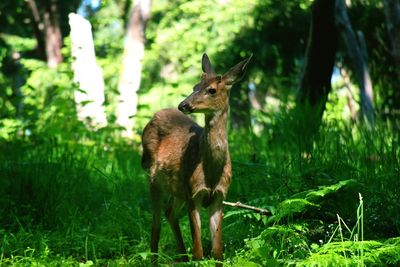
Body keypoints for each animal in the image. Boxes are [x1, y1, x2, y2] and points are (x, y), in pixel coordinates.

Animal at [142, 53, 252, 266]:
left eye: (211, 90)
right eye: (194, 87)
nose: (183, 105)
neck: (211, 171)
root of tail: (153, 116)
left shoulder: (219, 196)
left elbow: (217, 252)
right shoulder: (194, 193)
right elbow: (199, 251)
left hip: (177, 188)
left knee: (169, 212)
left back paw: (181, 256)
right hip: (154, 179)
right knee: (155, 222)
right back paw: (155, 259)